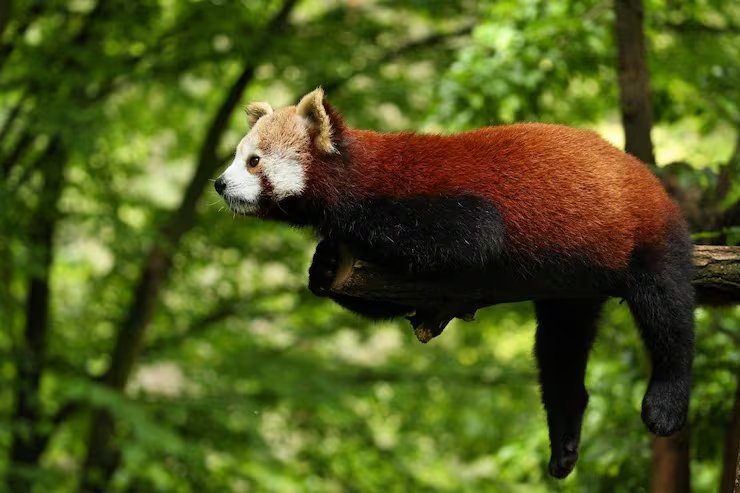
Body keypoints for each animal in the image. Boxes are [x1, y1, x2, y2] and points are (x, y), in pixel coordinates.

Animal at [215, 88, 694, 479]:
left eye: (253, 161)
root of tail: (644, 174)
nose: (219, 183)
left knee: (667, 312)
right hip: (573, 283)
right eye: (239, 157)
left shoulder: (436, 206)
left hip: (644, 233)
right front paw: (325, 264)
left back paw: (666, 403)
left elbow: (469, 238)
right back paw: (564, 438)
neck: (357, 174)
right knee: (560, 348)